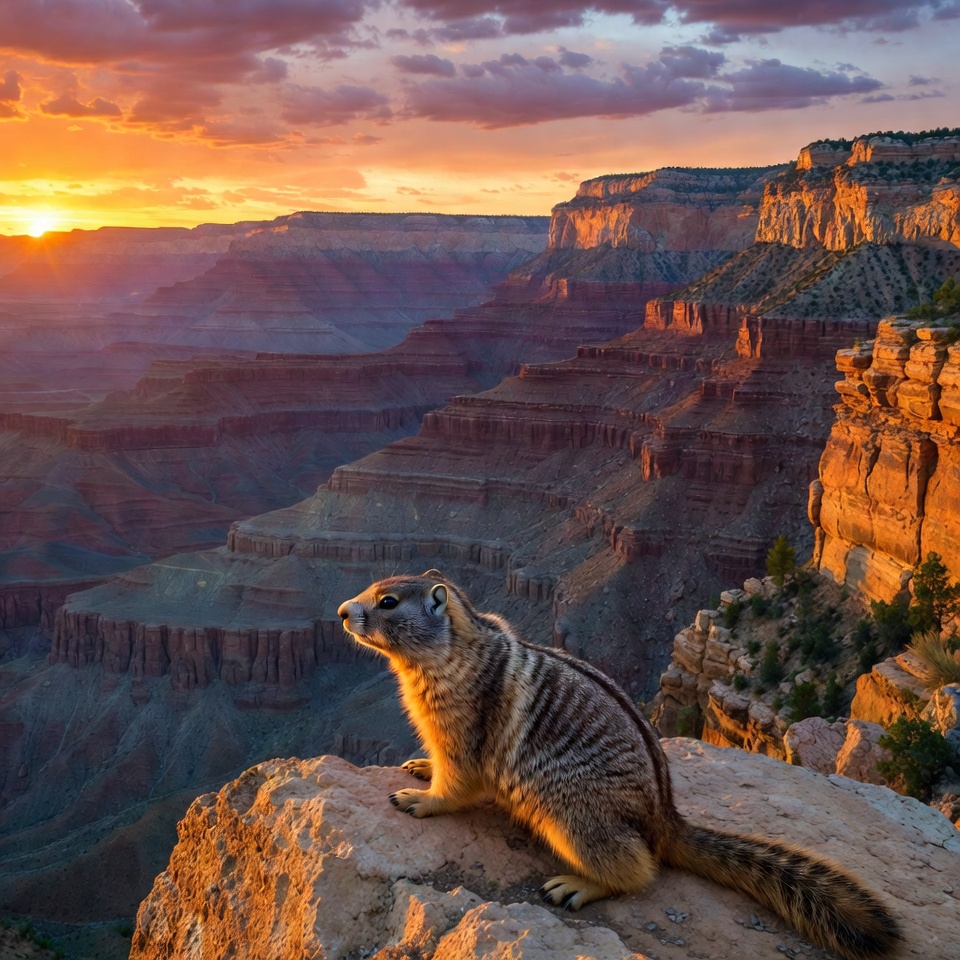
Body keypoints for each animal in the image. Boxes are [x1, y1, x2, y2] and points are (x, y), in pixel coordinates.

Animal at [338, 571, 901, 960]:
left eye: (387, 602)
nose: (342, 611)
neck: (452, 650)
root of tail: (666, 820)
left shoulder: (459, 717)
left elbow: (458, 775)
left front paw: (418, 798)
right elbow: (439, 764)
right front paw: (417, 766)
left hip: (570, 808)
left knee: (636, 867)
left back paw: (576, 885)